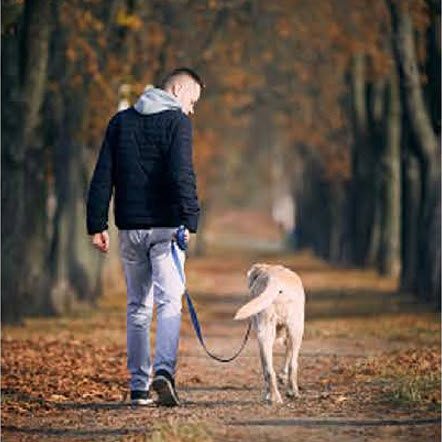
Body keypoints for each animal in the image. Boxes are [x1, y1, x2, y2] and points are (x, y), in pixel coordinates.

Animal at [235, 262, 304, 404]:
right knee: (292, 364)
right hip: (296, 329)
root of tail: (274, 279)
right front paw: (283, 377)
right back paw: (289, 392)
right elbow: (288, 356)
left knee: (269, 370)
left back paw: (274, 397)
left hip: (266, 333)